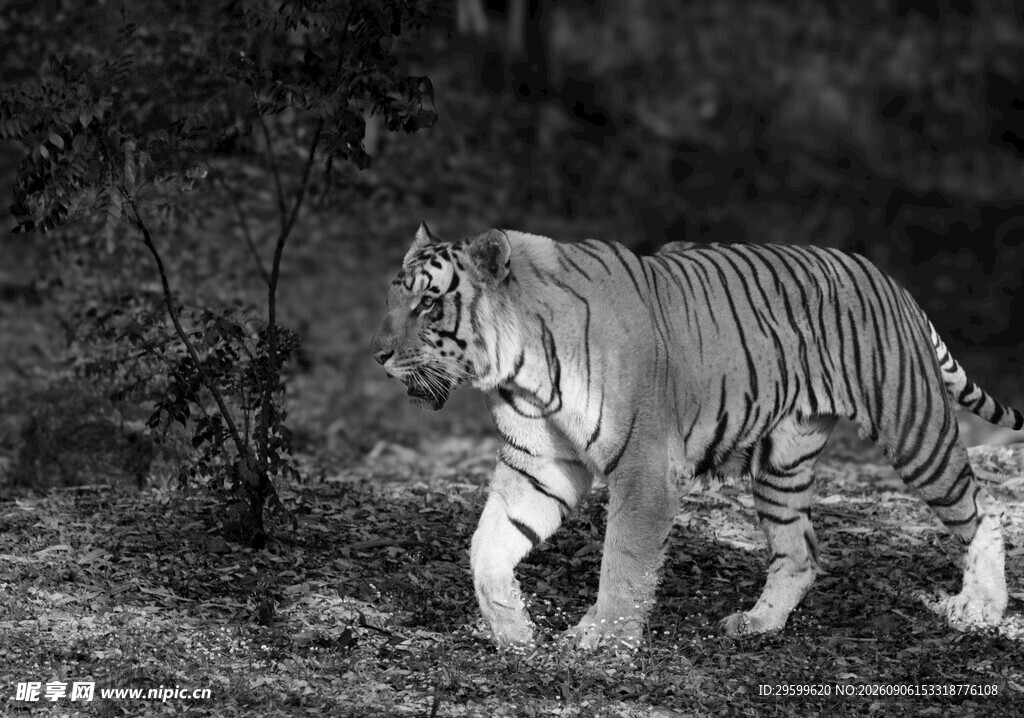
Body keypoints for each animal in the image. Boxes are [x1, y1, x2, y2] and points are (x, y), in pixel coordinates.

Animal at [370, 222, 1021, 649]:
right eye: (393, 297)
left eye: (428, 305)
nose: (378, 355)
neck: (517, 365)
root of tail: (890, 281)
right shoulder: (539, 462)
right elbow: (488, 546)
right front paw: (514, 631)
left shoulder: (645, 468)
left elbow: (624, 561)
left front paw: (601, 643)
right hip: (783, 463)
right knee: (801, 552)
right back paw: (757, 624)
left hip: (913, 430)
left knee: (983, 512)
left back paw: (981, 610)